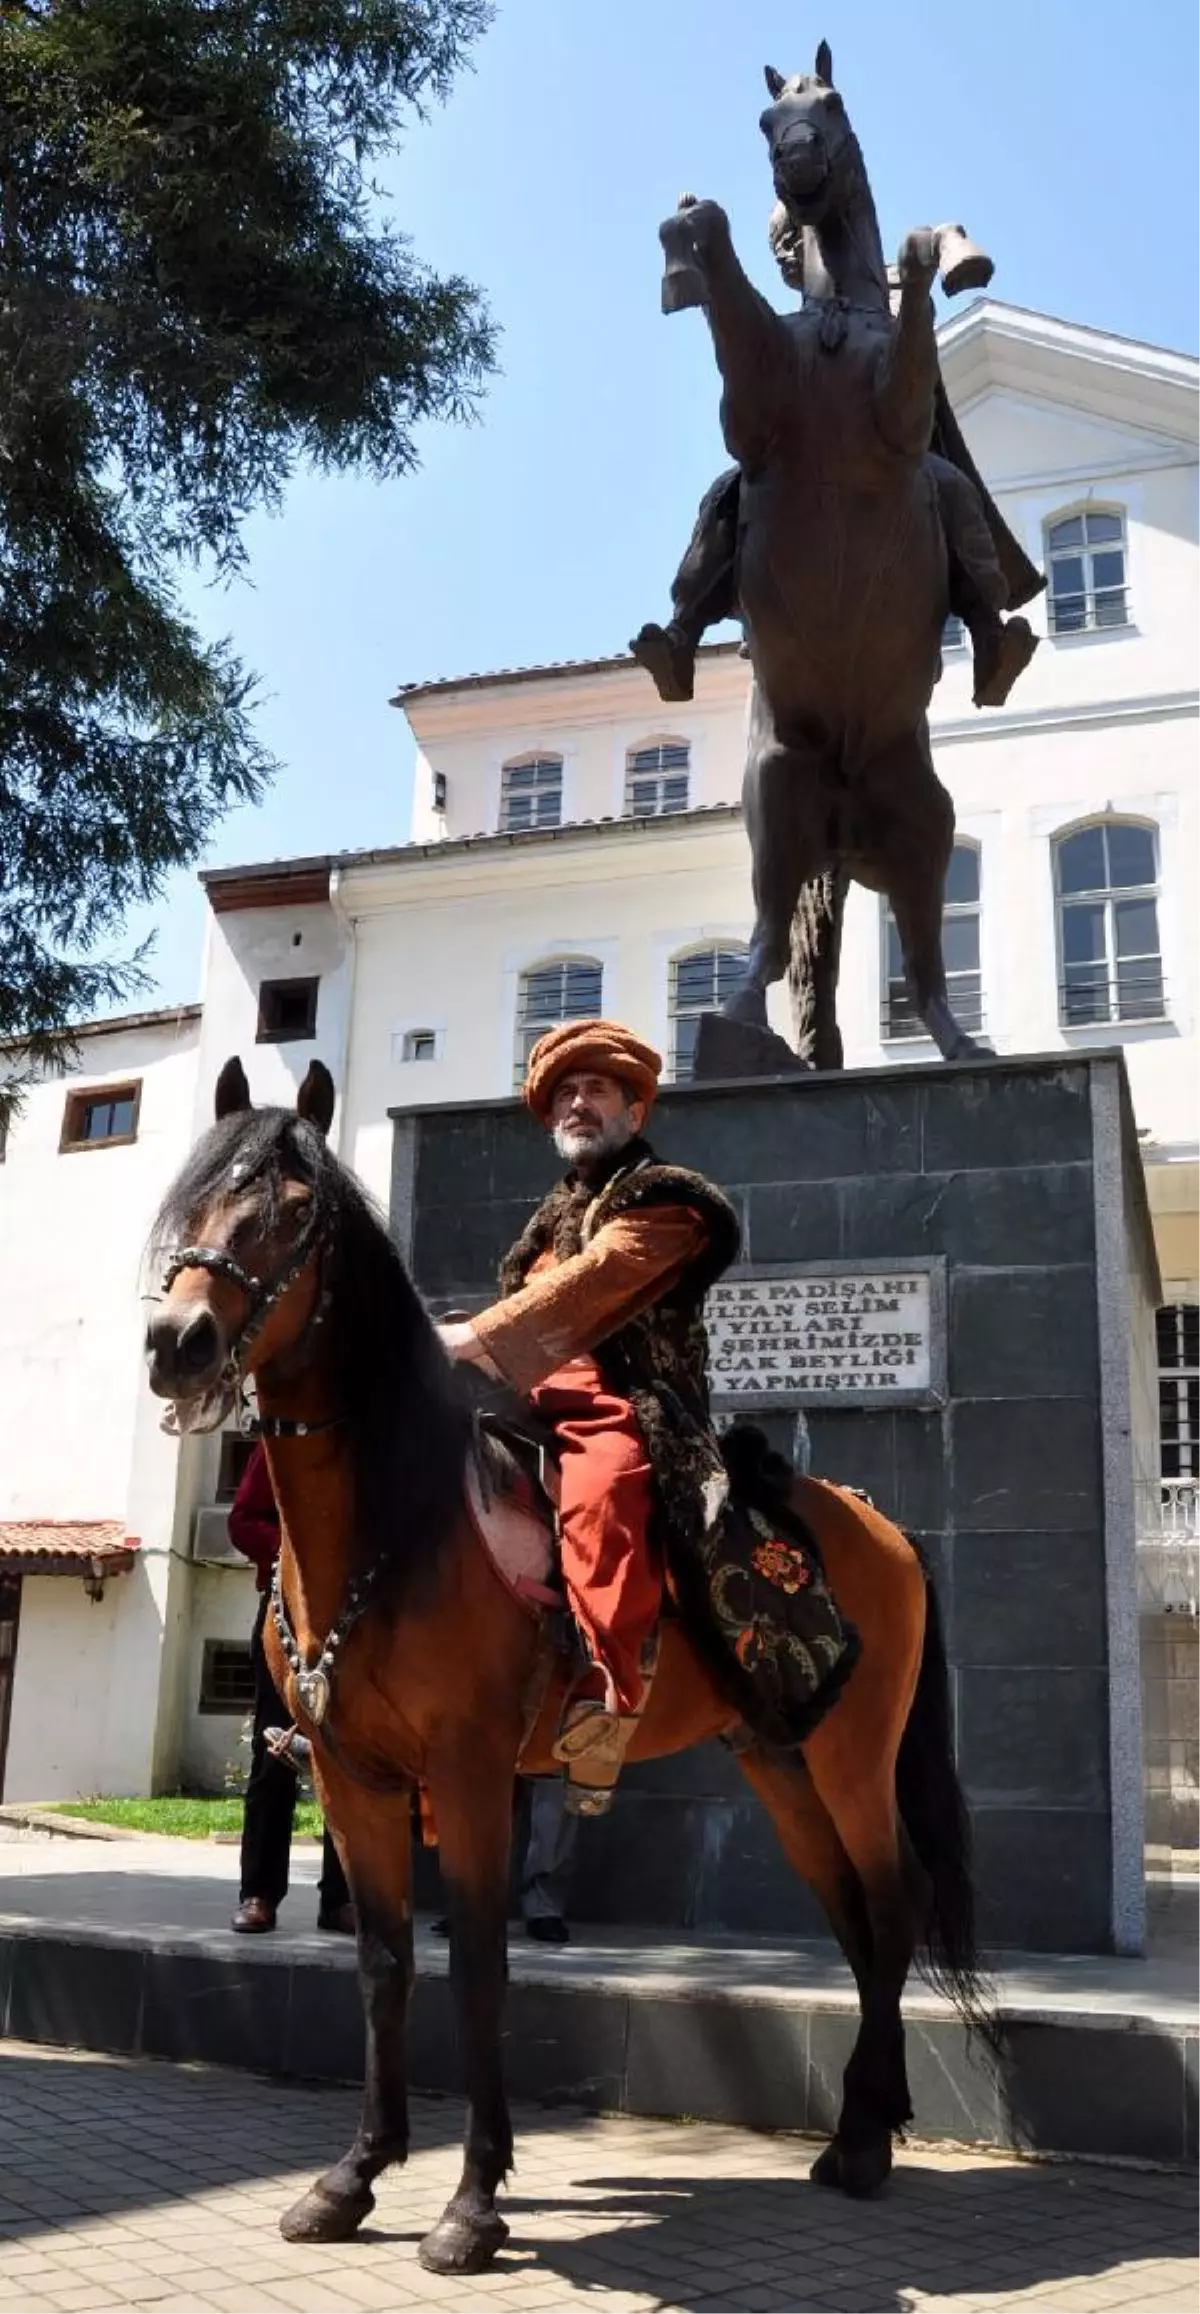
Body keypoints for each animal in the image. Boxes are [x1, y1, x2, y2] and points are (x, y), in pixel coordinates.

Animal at [145, 1059, 989, 2276]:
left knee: (895, 1897)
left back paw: (869, 2145)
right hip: (779, 1756)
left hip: (851, 1752)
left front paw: (472, 2200)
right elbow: (384, 1964)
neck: (395, 1522)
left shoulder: (469, 1772)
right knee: (850, 1912)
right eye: (192, 1198)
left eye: (296, 1211)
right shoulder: (354, 1778)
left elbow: (479, 1967)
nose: (179, 1341)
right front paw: (354, 2174)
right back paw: (856, 2127)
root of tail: (883, 1528)